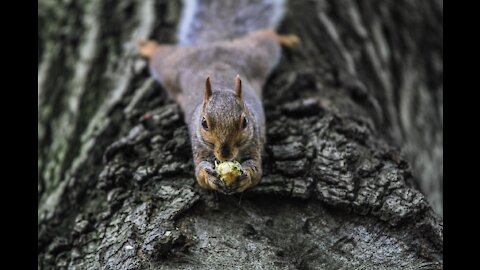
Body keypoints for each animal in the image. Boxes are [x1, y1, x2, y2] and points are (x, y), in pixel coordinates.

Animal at [137, 0, 298, 194]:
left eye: (245, 122)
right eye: (204, 123)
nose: (225, 154)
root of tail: (214, 44)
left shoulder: (254, 140)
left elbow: (256, 170)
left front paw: (246, 176)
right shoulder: (198, 143)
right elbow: (200, 173)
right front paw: (209, 176)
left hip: (256, 54)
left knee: (267, 36)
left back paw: (286, 39)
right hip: (172, 66)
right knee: (160, 55)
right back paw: (148, 47)